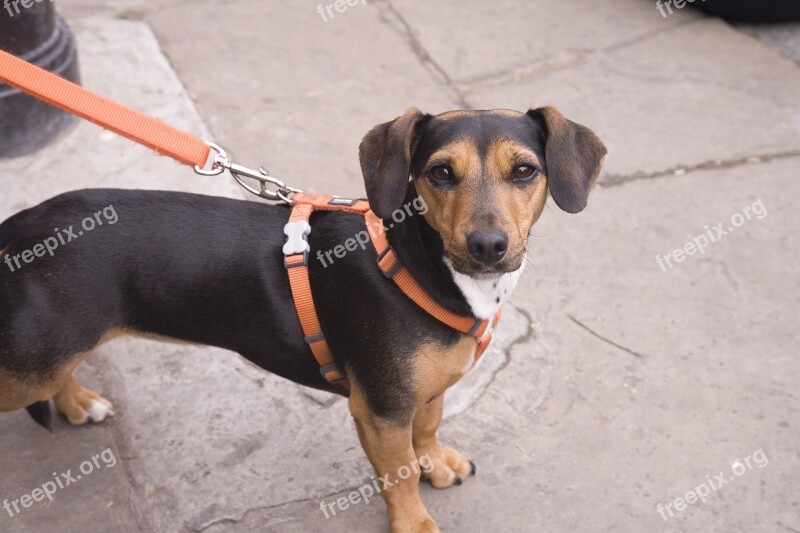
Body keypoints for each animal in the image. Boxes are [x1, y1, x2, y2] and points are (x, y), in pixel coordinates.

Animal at [0, 106, 600, 528]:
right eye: (440, 173)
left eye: (524, 171)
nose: (488, 246)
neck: (421, 264)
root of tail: (21, 225)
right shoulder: (379, 411)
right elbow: (400, 475)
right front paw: (414, 522)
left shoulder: (423, 390)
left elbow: (427, 428)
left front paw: (436, 461)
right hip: (27, 364)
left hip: (46, 356)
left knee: (59, 375)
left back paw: (77, 402)